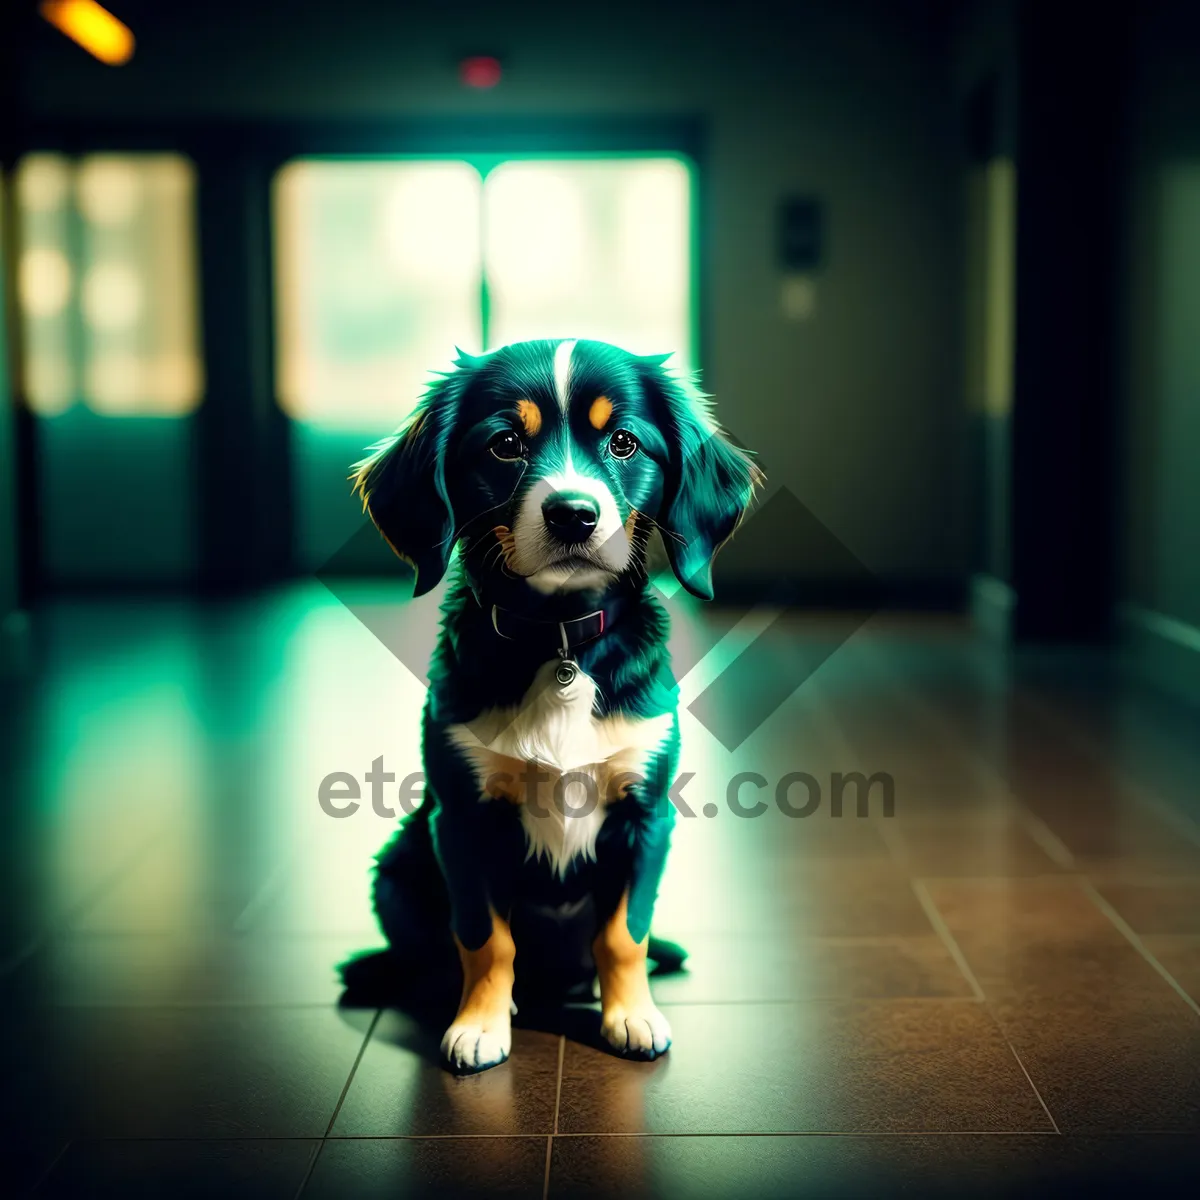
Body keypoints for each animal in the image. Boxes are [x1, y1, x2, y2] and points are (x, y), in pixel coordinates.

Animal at [350, 336, 758, 1070]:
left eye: (624, 442)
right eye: (505, 444)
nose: (573, 513)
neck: (560, 639)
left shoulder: (645, 817)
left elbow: (624, 934)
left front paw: (632, 1018)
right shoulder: (462, 819)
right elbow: (484, 938)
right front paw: (480, 1024)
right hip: (394, 871)